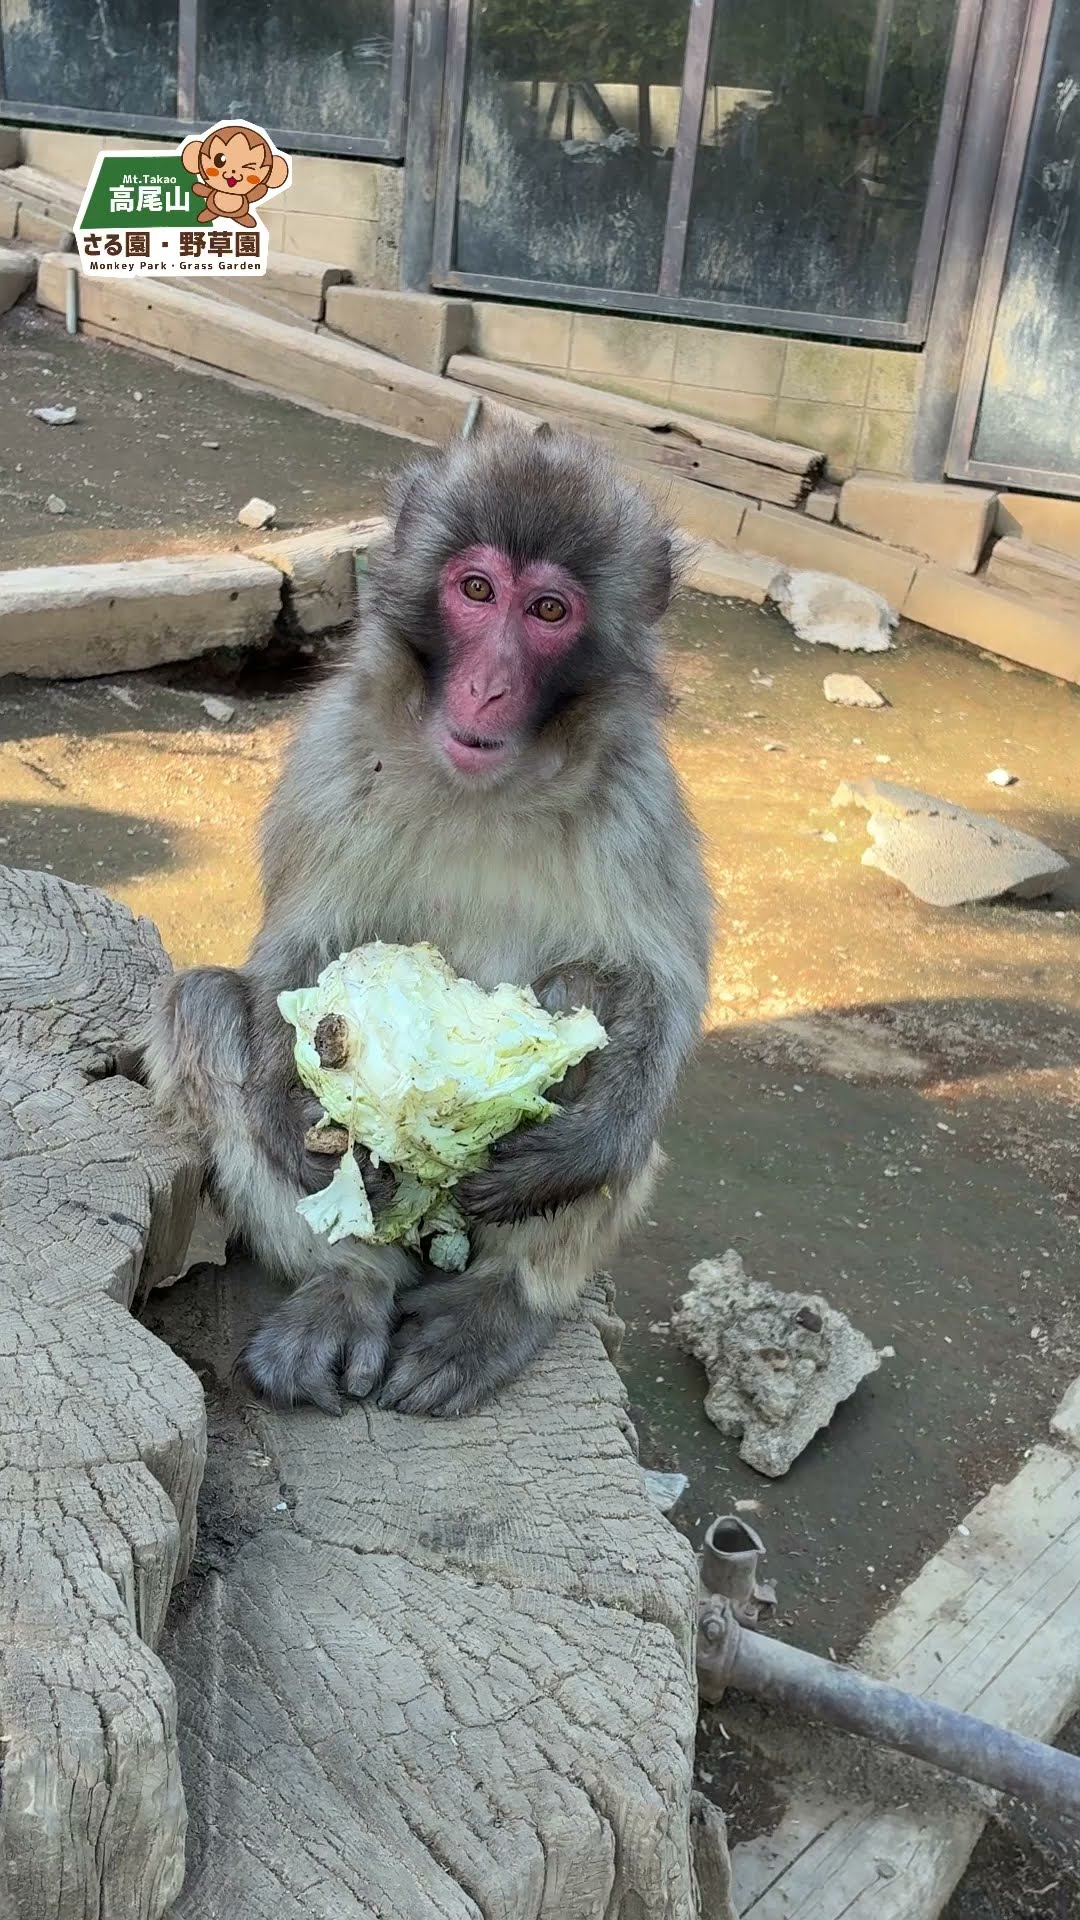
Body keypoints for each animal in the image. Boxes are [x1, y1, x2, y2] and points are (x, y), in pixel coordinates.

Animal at [144, 426, 713, 1417]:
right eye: (476, 590)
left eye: (549, 609)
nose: (487, 686)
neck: (486, 785)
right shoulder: (334, 755)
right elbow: (293, 950)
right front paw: (297, 1115)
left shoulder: (637, 789)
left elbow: (664, 983)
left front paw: (583, 1145)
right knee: (204, 1006)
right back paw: (348, 1285)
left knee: (588, 988)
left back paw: (500, 1303)